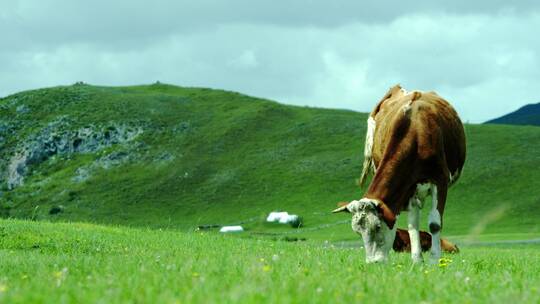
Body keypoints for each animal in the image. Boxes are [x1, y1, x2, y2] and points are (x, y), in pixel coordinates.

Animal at [332, 84, 466, 262]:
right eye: (357, 232)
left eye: (378, 226)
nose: (373, 262)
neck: (416, 132)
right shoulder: (407, 186)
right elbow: (412, 225)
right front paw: (417, 260)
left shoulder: (440, 180)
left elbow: (435, 224)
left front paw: (433, 260)